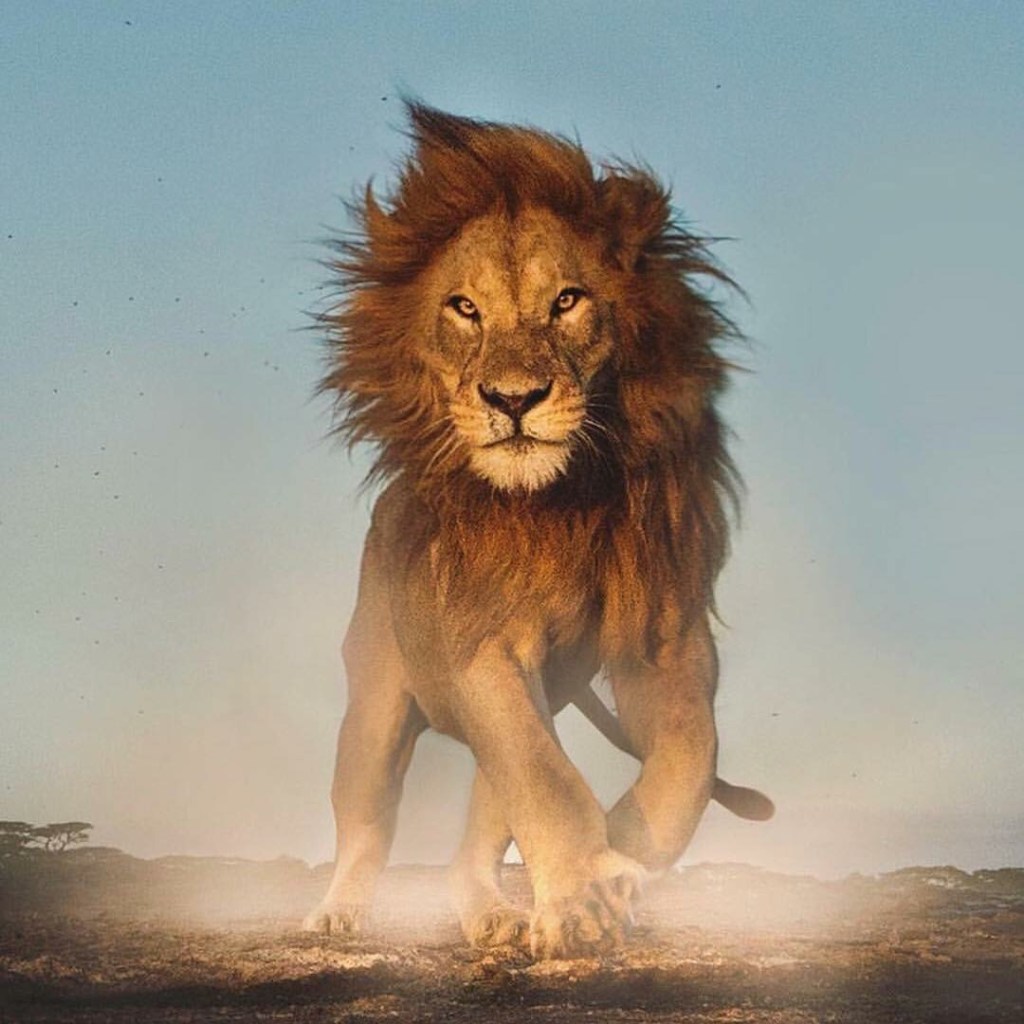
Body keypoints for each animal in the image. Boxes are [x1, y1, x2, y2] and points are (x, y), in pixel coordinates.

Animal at [304, 102, 773, 958]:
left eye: (568, 301)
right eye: (464, 308)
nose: (513, 399)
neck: (568, 503)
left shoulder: (668, 642)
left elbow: (687, 764)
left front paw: (615, 868)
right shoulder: (482, 642)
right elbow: (546, 780)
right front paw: (588, 891)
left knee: (478, 833)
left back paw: (494, 915)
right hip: (375, 709)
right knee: (367, 824)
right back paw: (337, 912)